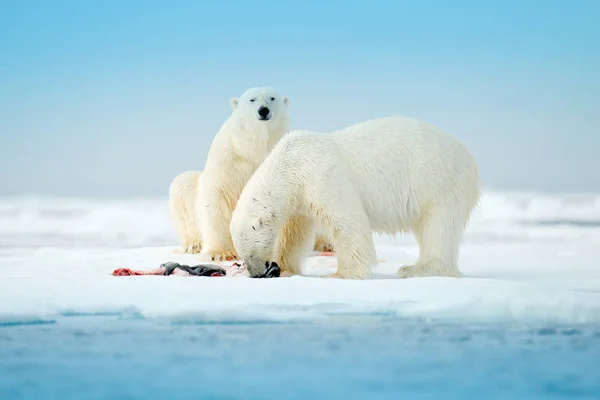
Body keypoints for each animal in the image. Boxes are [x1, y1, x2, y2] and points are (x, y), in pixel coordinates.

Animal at [169, 86, 336, 258]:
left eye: (272, 98)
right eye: (252, 99)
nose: (263, 110)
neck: (254, 147)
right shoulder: (228, 159)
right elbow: (218, 199)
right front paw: (220, 253)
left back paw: (326, 244)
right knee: (182, 185)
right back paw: (192, 245)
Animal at [227, 115, 480, 278]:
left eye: (250, 252)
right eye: (242, 253)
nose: (256, 272)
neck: (290, 164)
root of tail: (469, 158)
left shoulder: (322, 177)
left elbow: (347, 222)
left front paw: (341, 274)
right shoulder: (298, 199)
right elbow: (294, 233)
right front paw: (286, 268)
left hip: (438, 181)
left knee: (438, 226)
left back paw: (418, 269)